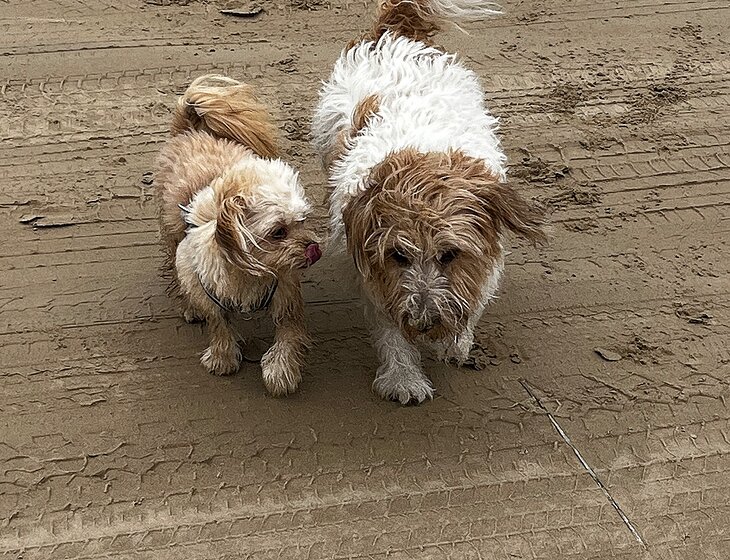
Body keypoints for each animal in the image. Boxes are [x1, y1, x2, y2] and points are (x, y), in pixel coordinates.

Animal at [156, 74, 322, 396]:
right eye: (278, 232)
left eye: (302, 220)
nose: (313, 248)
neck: (247, 274)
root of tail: (191, 130)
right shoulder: (203, 286)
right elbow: (218, 322)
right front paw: (223, 358)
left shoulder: (285, 292)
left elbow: (288, 333)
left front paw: (281, 372)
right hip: (172, 232)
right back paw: (187, 306)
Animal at [312, 1, 547, 404]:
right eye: (398, 256)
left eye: (449, 254)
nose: (424, 323)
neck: (422, 160)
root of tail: (395, 34)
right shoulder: (374, 269)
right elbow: (389, 326)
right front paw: (404, 378)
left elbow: (474, 294)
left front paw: (455, 340)